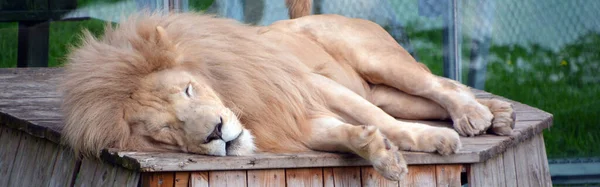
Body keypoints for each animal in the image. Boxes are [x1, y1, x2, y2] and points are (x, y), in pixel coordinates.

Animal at [61, 0, 516, 181]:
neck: (242, 102)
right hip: (380, 88)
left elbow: (387, 123)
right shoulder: (299, 122)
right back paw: (498, 114)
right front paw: (379, 152)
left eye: (188, 90)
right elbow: (350, 132)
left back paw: (474, 117)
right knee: (427, 98)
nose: (215, 133)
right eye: (165, 131)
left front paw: (429, 143)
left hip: (376, 60)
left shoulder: (313, 84)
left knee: (436, 84)